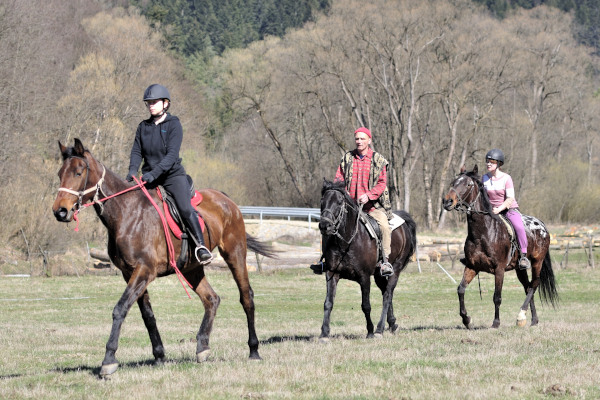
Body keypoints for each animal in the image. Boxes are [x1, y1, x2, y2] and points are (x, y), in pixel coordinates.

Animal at [54, 139, 274, 376]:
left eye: (78, 172)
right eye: (60, 174)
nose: (60, 211)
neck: (126, 213)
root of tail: (226, 199)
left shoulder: (144, 271)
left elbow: (120, 309)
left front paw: (109, 360)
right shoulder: (130, 273)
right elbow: (147, 315)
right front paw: (159, 356)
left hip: (235, 253)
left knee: (246, 297)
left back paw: (254, 350)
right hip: (192, 268)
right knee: (212, 299)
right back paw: (202, 347)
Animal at [318, 180, 418, 340]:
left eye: (339, 202)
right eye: (322, 201)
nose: (324, 225)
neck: (346, 242)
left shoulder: (364, 277)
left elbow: (366, 305)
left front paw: (370, 331)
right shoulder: (332, 274)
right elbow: (328, 303)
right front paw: (324, 333)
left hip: (395, 269)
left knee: (387, 295)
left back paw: (379, 329)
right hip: (378, 275)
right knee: (386, 293)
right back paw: (392, 323)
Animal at [440, 165, 556, 328]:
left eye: (468, 184)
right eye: (454, 182)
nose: (447, 202)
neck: (483, 233)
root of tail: (542, 225)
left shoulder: (499, 269)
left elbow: (497, 297)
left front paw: (495, 323)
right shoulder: (472, 267)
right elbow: (461, 289)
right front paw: (466, 320)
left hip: (537, 262)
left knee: (534, 285)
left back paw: (521, 315)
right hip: (519, 269)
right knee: (527, 287)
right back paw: (532, 319)